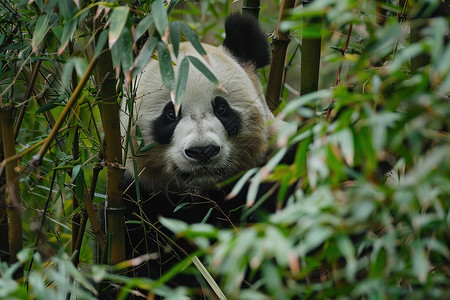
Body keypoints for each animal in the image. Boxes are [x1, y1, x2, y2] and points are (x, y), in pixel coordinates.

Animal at [118, 12, 292, 284]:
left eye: (221, 108)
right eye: (171, 114)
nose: (203, 151)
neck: (203, 193)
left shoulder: (276, 167)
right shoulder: (137, 203)